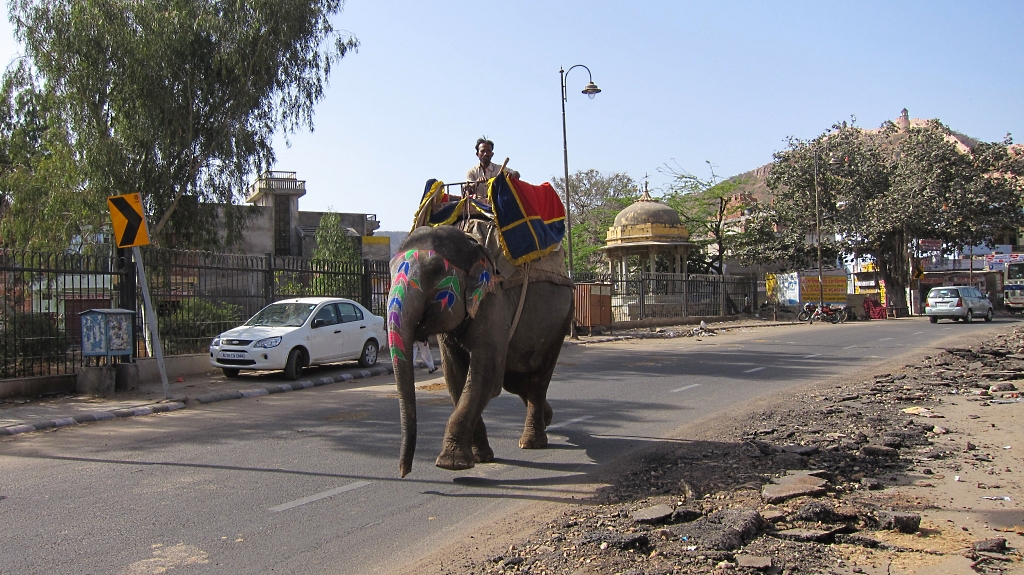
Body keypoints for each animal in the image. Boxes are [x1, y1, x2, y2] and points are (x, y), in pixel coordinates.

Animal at [387, 224, 573, 474]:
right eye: (389, 270)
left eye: (435, 271)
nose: (404, 471)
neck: (471, 243)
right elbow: (455, 378)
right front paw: (480, 457)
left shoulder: (494, 304)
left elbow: (485, 378)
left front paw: (450, 464)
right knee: (515, 381)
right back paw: (548, 418)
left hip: (561, 323)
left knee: (537, 379)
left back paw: (531, 442)